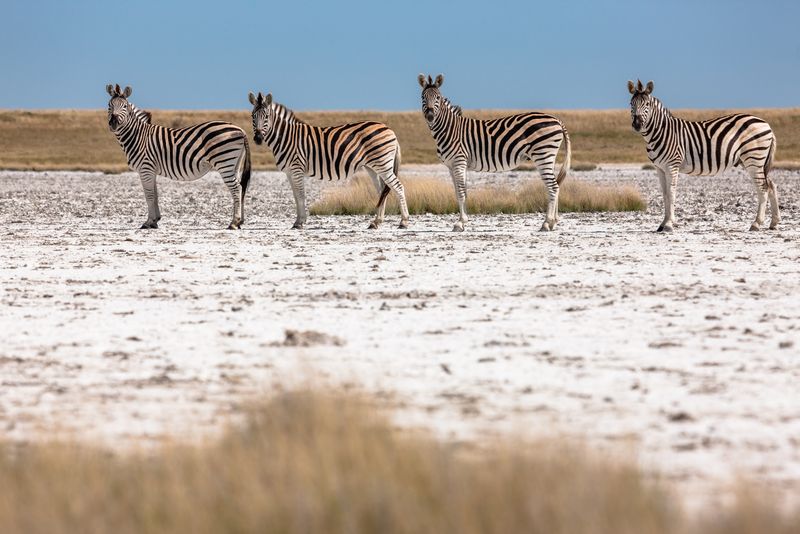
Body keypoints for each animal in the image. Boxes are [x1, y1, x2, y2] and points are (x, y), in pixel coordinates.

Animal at [106, 84, 251, 229]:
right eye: (109, 105)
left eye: (125, 106)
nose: (113, 123)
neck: (138, 136)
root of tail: (240, 129)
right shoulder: (151, 171)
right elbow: (155, 195)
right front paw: (155, 221)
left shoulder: (145, 169)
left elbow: (149, 196)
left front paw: (148, 222)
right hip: (234, 164)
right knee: (240, 187)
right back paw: (239, 221)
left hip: (224, 162)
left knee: (236, 188)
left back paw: (234, 222)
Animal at [248, 91, 409, 230]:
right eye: (252, 116)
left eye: (266, 116)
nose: (258, 139)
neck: (286, 137)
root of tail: (389, 129)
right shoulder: (289, 172)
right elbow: (295, 196)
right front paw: (298, 221)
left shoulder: (297, 168)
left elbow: (300, 195)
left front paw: (300, 222)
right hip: (373, 167)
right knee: (382, 190)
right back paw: (376, 222)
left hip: (383, 165)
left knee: (398, 187)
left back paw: (404, 221)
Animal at [418, 74, 571, 232]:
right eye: (423, 97)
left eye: (438, 97)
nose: (430, 116)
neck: (449, 129)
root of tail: (557, 119)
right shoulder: (453, 166)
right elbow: (461, 191)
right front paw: (464, 220)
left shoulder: (459, 161)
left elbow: (460, 192)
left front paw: (459, 223)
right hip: (549, 157)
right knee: (556, 184)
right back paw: (553, 222)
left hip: (543, 155)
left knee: (553, 187)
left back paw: (547, 223)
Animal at [628, 79, 779, 232]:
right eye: (631, 104)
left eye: (647, 104)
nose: (637, 124)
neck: (662, 132)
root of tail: (766, 123)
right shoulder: (659, 168)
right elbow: (664, 195)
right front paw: (663, 223)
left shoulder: (672, 165)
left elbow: (671, 194)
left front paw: (669, 224)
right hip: (753, 161)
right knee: (771, 185)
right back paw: (774, 222)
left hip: (754, 158)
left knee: (763, 188)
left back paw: (756, 223)